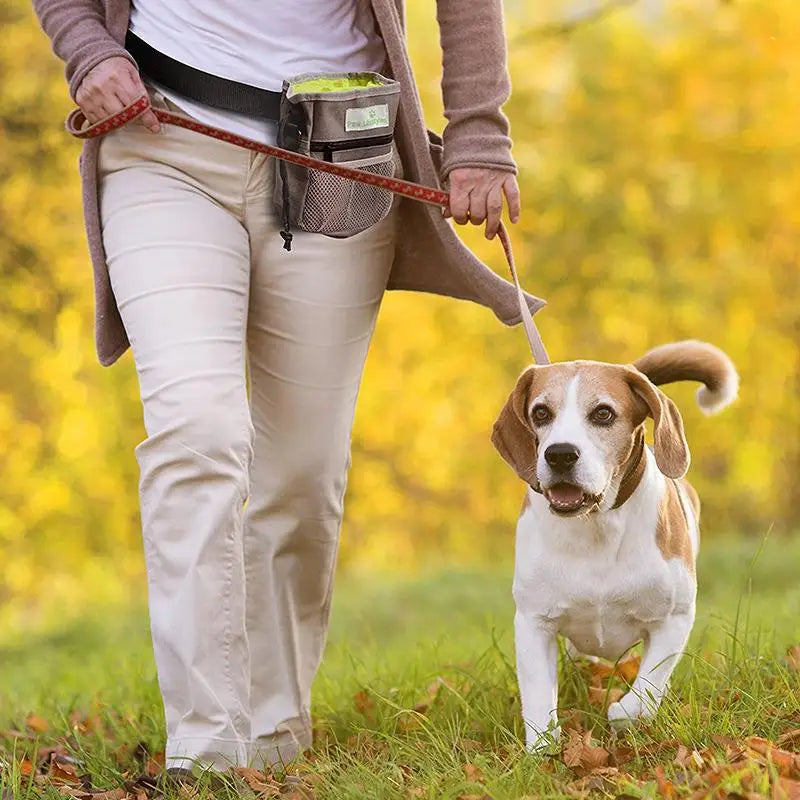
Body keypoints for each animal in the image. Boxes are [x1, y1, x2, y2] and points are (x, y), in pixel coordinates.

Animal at [490, 340, 740, 748]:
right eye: (540, 412)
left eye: (603, 413)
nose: (559, 454)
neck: (596, 526)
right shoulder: (533, 622)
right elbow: (539, 697)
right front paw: (542, 749)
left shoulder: (674, 619)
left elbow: (647, 688)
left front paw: (622, 713)